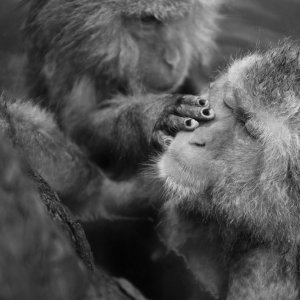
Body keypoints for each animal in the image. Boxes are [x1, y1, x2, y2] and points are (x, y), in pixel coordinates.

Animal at [23, 0, 220, 177]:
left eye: (179, 17)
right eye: (147, 20)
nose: (173, 60)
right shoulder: (68, 62)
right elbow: (79, 131)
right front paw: (153, 115)